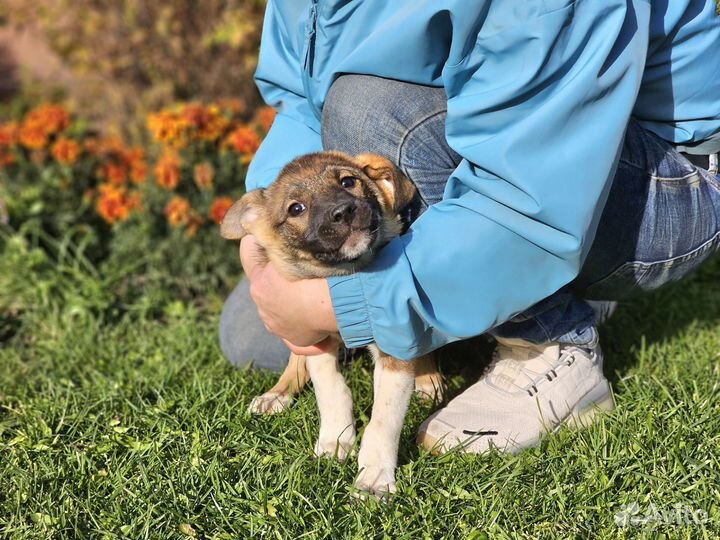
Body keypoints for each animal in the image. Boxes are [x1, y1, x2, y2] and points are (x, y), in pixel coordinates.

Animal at [222, 152, 442, 498]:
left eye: (348, 181)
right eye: (296, 208)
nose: (343, 212)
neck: (344, 276)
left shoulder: (391, 341)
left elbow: (383, 419)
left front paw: (374, 478)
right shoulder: (309, 332)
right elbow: (331, 388)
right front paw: (336, 438)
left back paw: (427, 379)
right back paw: (277, 393)